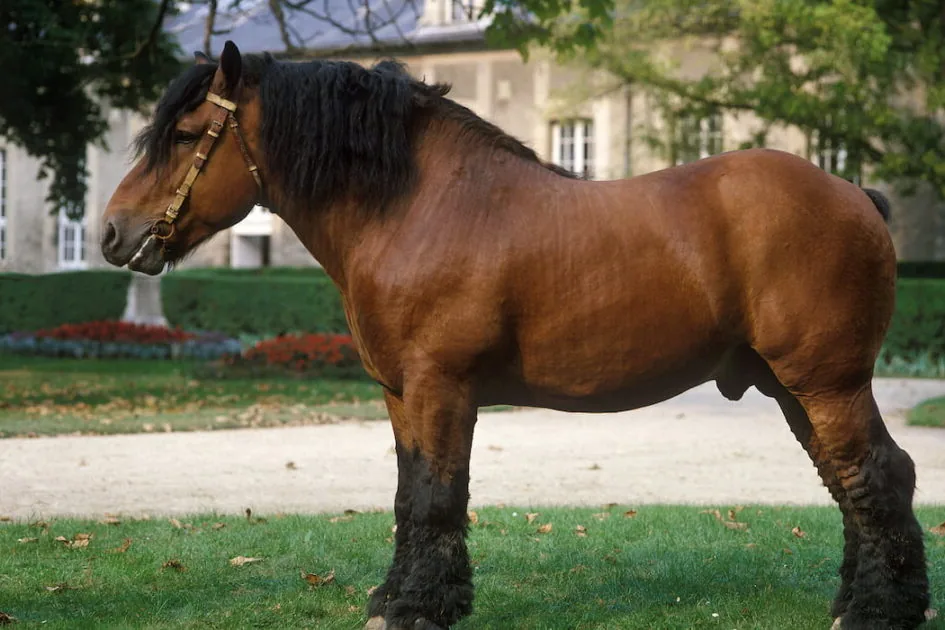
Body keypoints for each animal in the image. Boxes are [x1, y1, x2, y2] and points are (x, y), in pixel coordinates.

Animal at [101, 40, 931, 630]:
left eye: (184, 134)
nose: (113, 233)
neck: (414, 206)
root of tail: (852, 191)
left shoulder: (439, 387)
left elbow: (436, 497)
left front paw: (418, 609)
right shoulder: (401, 394)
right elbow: (409, 493)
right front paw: (396, 597)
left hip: (826, 382)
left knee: (878, 477)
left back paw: (876, 613)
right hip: (791, 385)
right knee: (847, 483)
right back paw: (856, 602)